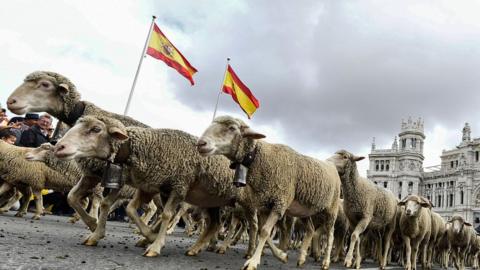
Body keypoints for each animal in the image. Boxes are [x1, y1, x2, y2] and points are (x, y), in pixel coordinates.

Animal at [6, 71, 149, 247]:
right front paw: (92, 223)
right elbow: (73, 198)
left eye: (45, 84)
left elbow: (97, 202)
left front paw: (93, 225)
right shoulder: (91, 173)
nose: (11, 101)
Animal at [51, 115, 260, 260]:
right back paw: (196, 248)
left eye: (95, 129)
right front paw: (97, 232)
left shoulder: (178, 186)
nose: (59, 146)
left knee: (251, 227)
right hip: (212, 201)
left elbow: (166, 215)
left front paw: (155, 244)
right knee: (214, 225)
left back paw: (246, 251)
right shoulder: (148, 186)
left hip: (245, 204)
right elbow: (128, 209)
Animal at [196, 116, 342, 270]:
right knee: (310, 230)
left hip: (331, 210)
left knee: (330, 236)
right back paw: (302, 258)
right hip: (305, 211)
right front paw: (282, 255)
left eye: (232, 128)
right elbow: (262, 231)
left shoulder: (279, 203)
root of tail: (332, 166)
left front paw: (253, 262)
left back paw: (326, 261)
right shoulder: (264, 205)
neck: (261, 159)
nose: (200, 143)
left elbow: (266, 231)